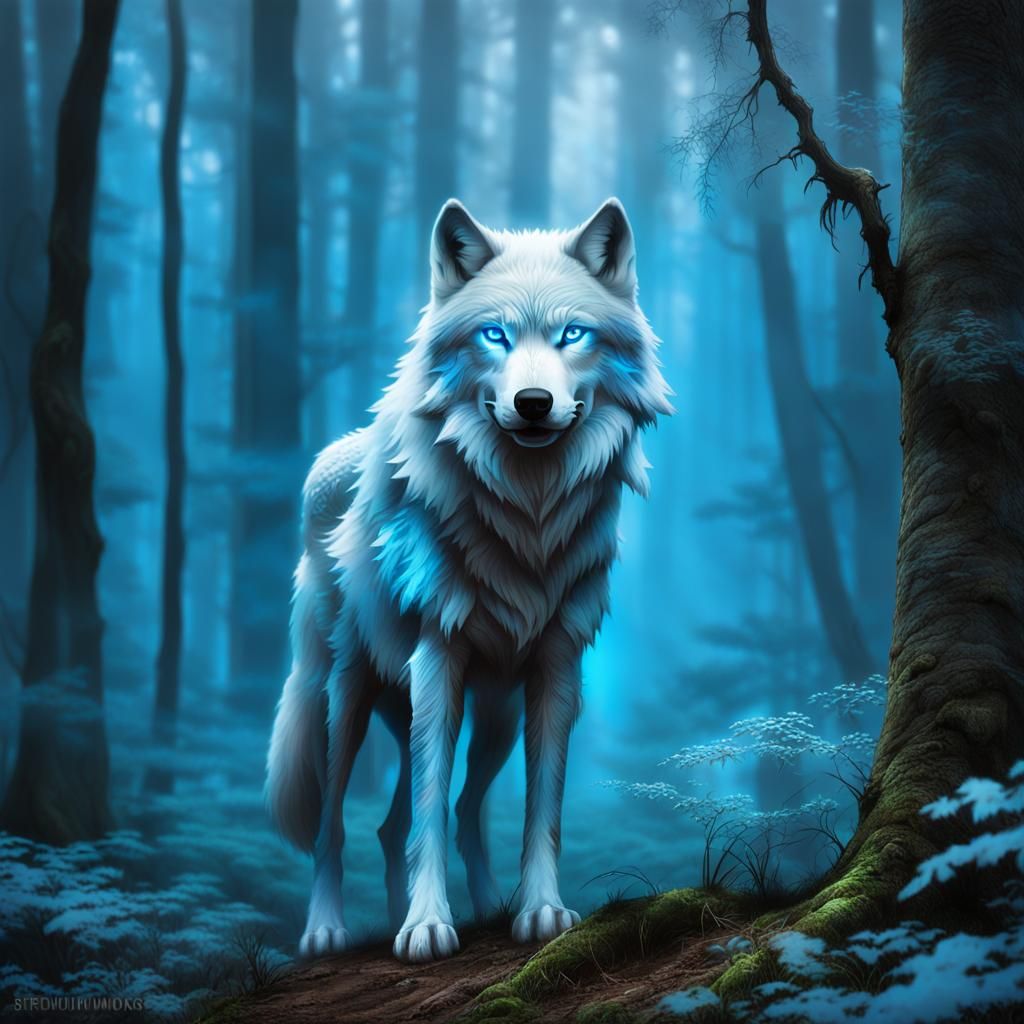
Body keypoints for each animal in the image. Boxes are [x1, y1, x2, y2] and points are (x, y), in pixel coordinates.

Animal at [265, 197, 671, 964]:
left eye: (572, 334)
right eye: (495, 335)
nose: (535, 401)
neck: (527, 513)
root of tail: (329, 461)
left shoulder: (557, 666)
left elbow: (542, 807)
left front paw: (540, 910)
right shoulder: (437, 659)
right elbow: (425, 808)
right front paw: (425, 925)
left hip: (495, 716)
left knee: (445, 811)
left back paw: (485, 906)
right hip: (347, 696)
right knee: (342, 822)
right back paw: (329, 930)